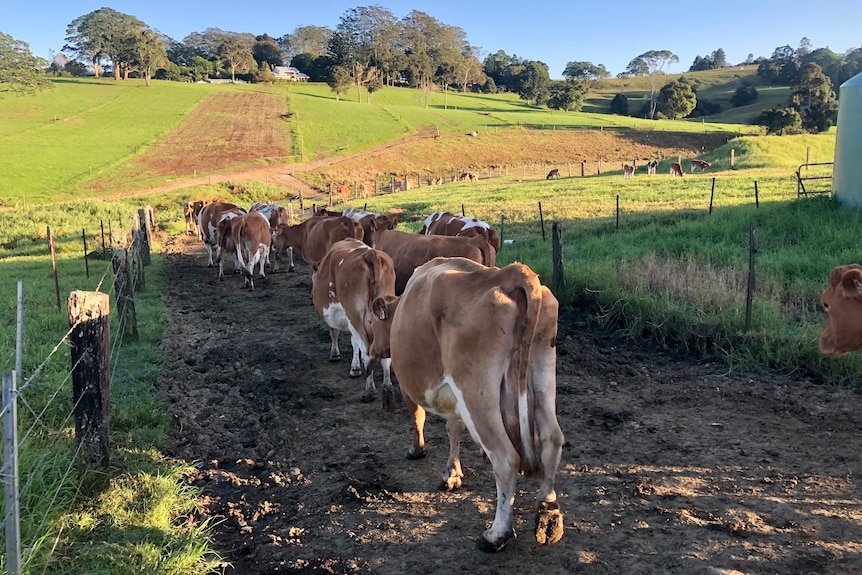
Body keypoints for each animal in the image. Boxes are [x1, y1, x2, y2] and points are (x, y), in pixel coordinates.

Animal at [312, 236, 400, 402]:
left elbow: (334, 333)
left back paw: (369, 391)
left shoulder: (335, 314)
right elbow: (354, 342)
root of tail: (370, 254)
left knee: (367, 352)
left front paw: (335, 355)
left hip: (355, 315)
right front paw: (355, 368)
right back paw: (387, 388)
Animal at [366, 258, 564, 552]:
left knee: (505, 458)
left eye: (371, 323)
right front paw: (452, 473)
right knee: (552, 438)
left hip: (476, 391)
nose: (370, 353)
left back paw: (496, 535)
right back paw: (548, 514)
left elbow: (418, 417)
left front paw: (418, 450)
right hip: (542, 368)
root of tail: (511, 273)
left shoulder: (409, 385)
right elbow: (454, 428)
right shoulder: (453, 394)